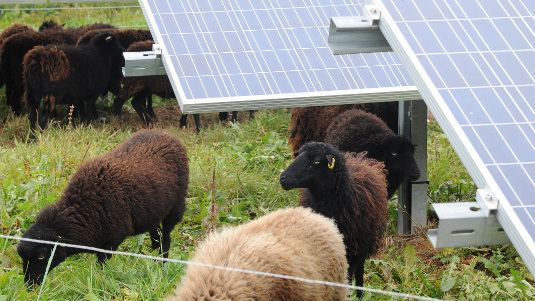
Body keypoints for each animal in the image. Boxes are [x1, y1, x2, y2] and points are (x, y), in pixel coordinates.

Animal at [17, 128, 191, 284]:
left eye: (41, 256)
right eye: (22, 257)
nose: (30, 286)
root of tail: (167, 134)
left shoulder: (112, 239)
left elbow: (102, 265)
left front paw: (102, 281)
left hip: (176, 206)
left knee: (166, 239)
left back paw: (162, 266)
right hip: (151, 211)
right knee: (157, 237)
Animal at [280, 142, 390, 296]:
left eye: (316, 160)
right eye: (298, 154)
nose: (283, 178)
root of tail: (358, 156)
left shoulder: (353, 251)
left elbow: (348, 280)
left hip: (364, 243)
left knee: (360, 272)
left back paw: (360, 296)